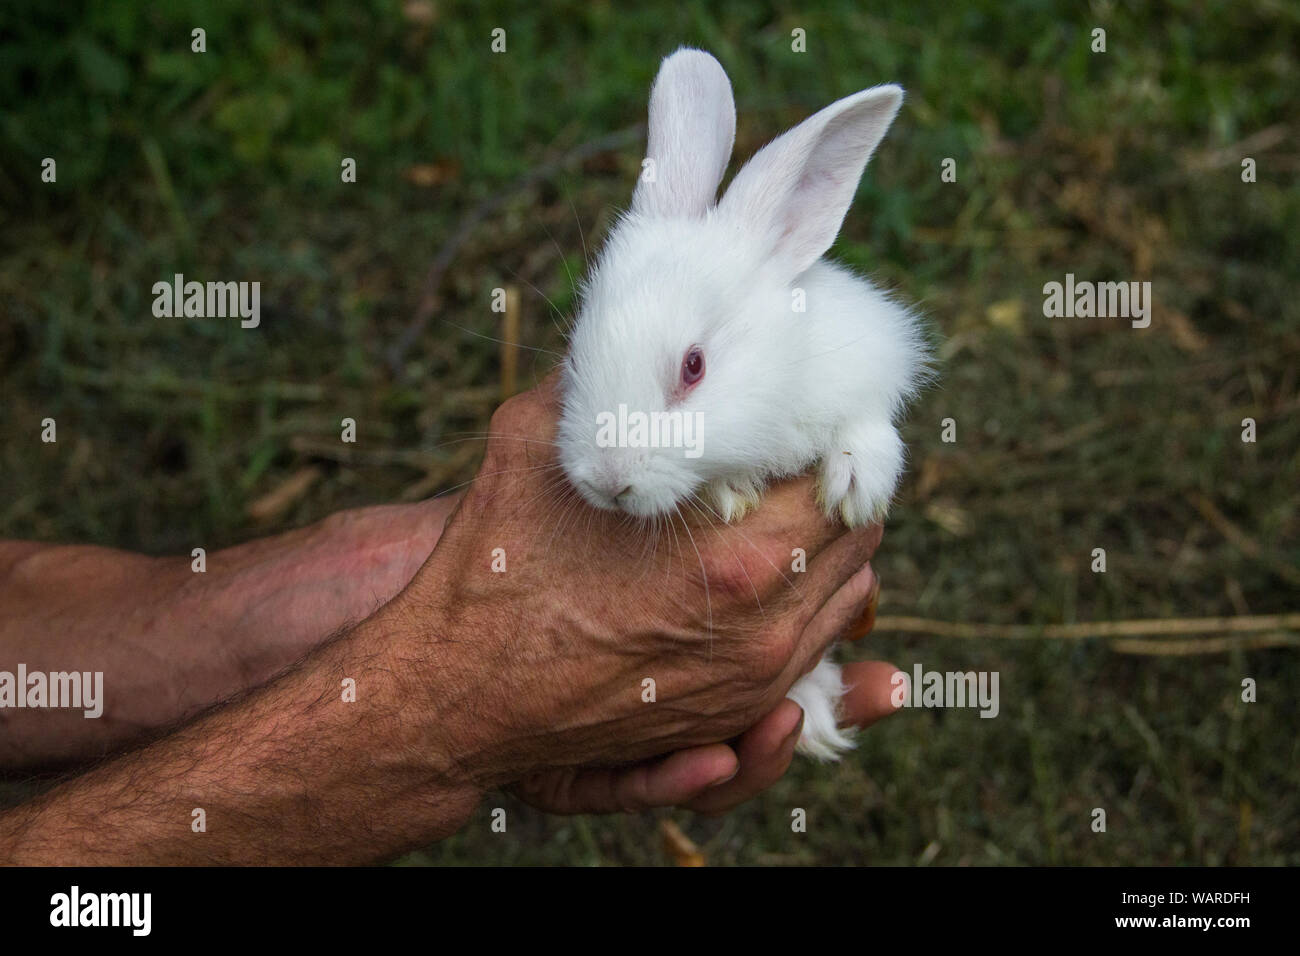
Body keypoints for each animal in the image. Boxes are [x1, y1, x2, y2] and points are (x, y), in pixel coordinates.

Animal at [556, 48, 929, 760]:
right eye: (576, 354)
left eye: (693, 367)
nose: (607, 484)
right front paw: (732, 491)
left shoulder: (867, 368)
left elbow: (869, 426)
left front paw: (855, 486)